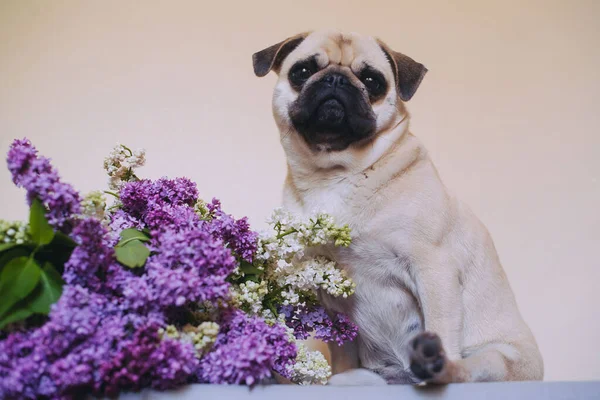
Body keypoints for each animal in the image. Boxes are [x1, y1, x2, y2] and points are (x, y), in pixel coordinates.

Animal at [252, 29, 544, 386]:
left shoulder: (434, 268)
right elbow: (341, 347)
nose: (335, 79)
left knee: (464, 367)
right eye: (302, 71)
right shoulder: (326, 290)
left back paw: (435, 368)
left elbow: (440, 325)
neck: (336, 173)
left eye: (372, 80)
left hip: (496, 360)